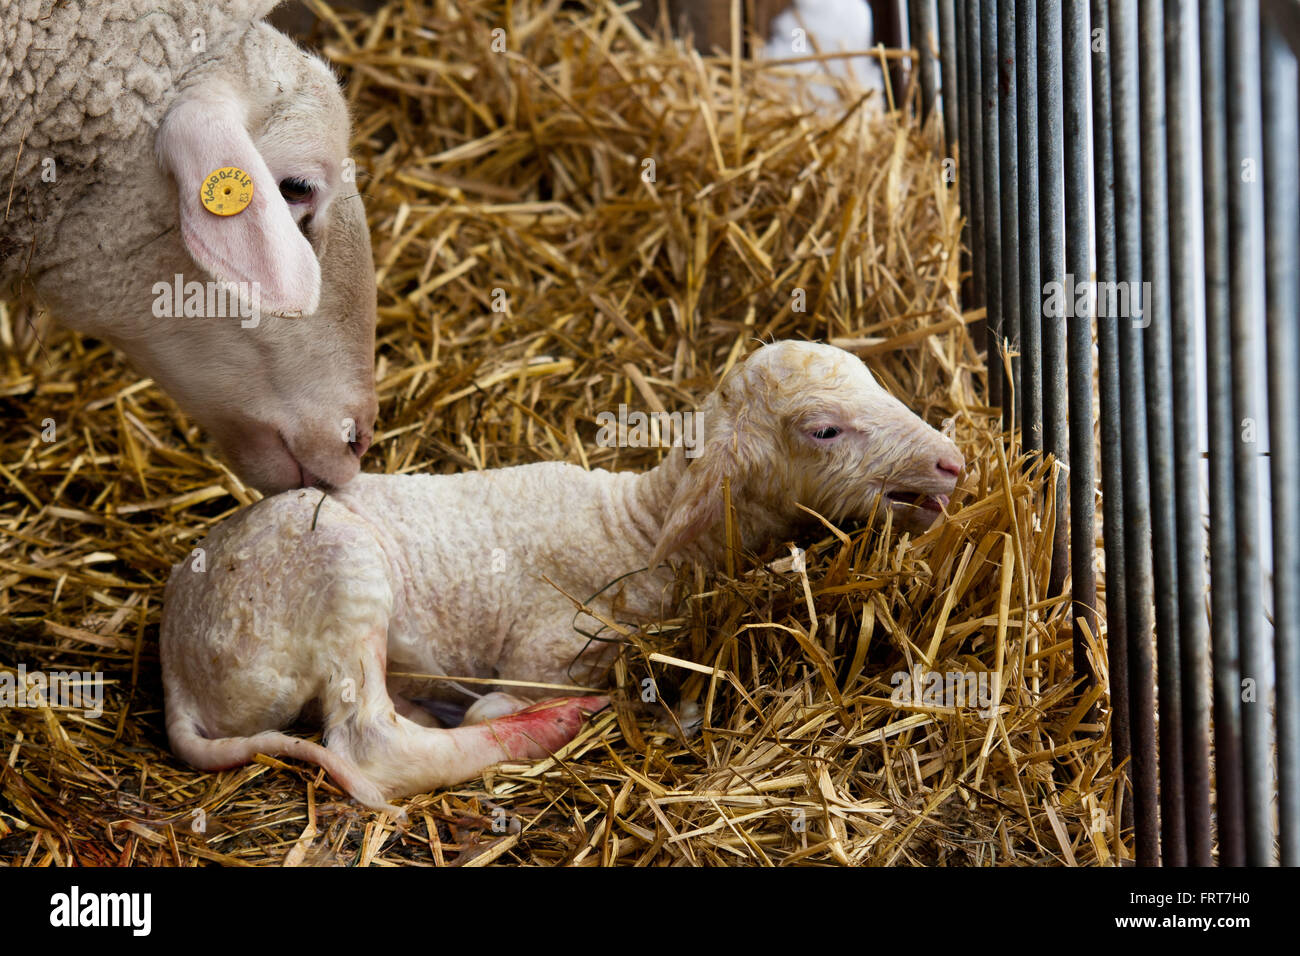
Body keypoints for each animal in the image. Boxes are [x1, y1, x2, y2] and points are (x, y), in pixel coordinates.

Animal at [159, 340, 967, 816]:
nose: (954, 462)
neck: (639, 528)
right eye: (824, 430)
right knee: (374, 746)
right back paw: (550, 726)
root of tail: (174, 661)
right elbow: (496, 699)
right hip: (341, 568)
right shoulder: (547, 650)